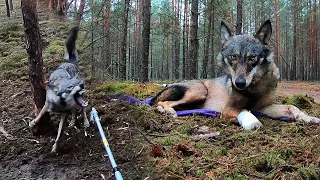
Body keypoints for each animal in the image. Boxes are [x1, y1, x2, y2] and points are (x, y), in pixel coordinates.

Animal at [150, 20, 320, 129]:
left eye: (252, 58)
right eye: (233, 57)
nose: (239, 83)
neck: (254, 88)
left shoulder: (264, 107)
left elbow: (292, 107)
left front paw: (307, 117)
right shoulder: (228, 109)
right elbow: (243, 111)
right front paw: (252, 122)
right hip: (200, 92)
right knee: (161, 102)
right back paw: (166, 110)